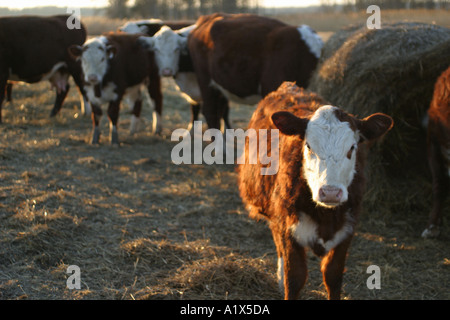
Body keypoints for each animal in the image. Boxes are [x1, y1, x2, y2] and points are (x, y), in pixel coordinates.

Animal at [237, 82, 392, 300]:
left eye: (352, 148)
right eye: (309, 146)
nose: (330, 192)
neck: (325, 217)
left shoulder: (346, 231)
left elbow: (333, 276)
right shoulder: (288, 228)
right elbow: (295, 277)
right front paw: (286, 282)